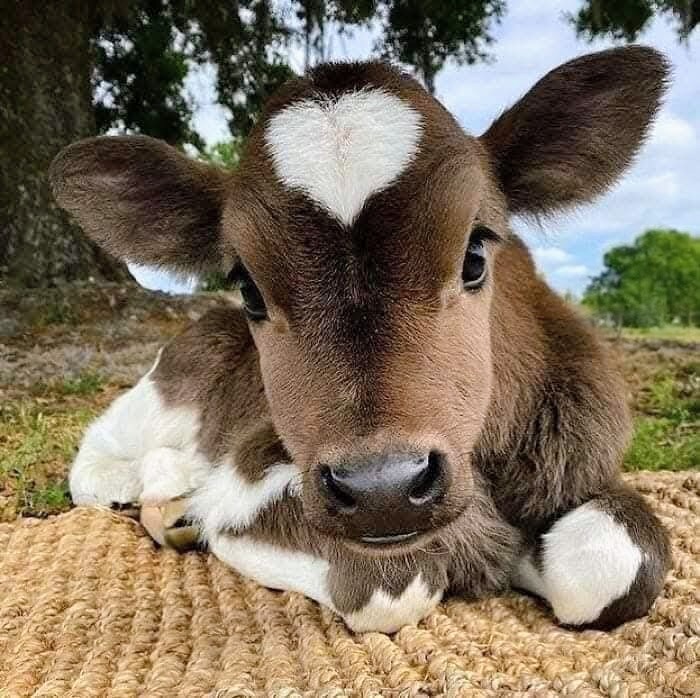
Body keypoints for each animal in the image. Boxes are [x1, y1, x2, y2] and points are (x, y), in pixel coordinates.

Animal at [49, 45, 671, 634]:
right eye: (248, 287)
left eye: (475, 253)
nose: (382, 488)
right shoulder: (250, 479)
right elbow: (392, 584)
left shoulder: (580, 462)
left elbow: (614, 564)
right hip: (175, 380)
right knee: (100, 455)